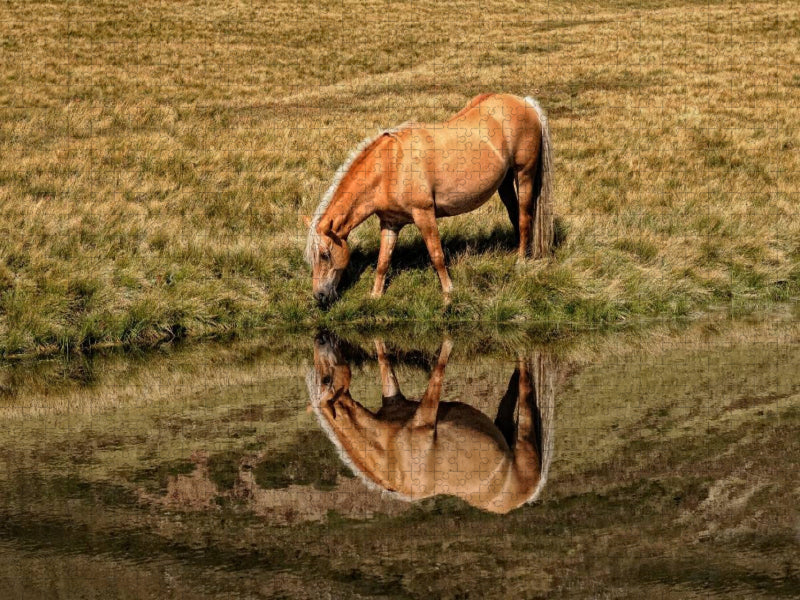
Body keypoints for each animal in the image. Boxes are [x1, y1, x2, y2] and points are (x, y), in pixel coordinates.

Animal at [304, 93, 554, 305]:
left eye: (325, 255)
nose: (319, 296)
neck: (390, 166)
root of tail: (525, 102)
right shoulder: (390, 223)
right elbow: (383, 261)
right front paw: (375, 296)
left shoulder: (424, 215)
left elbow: (437, 255)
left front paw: (448, 293)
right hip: (505, 182)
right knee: (514, 216)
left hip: (524, 174)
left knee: (524, 218)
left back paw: (520, 262)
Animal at [306, 334, 556, 514]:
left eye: (326, 379)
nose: (320, 339)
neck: (389, 453)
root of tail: (527, 496)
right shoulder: (403, 401)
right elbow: (388, 361)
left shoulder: (423, 414)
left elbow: (436, 370)